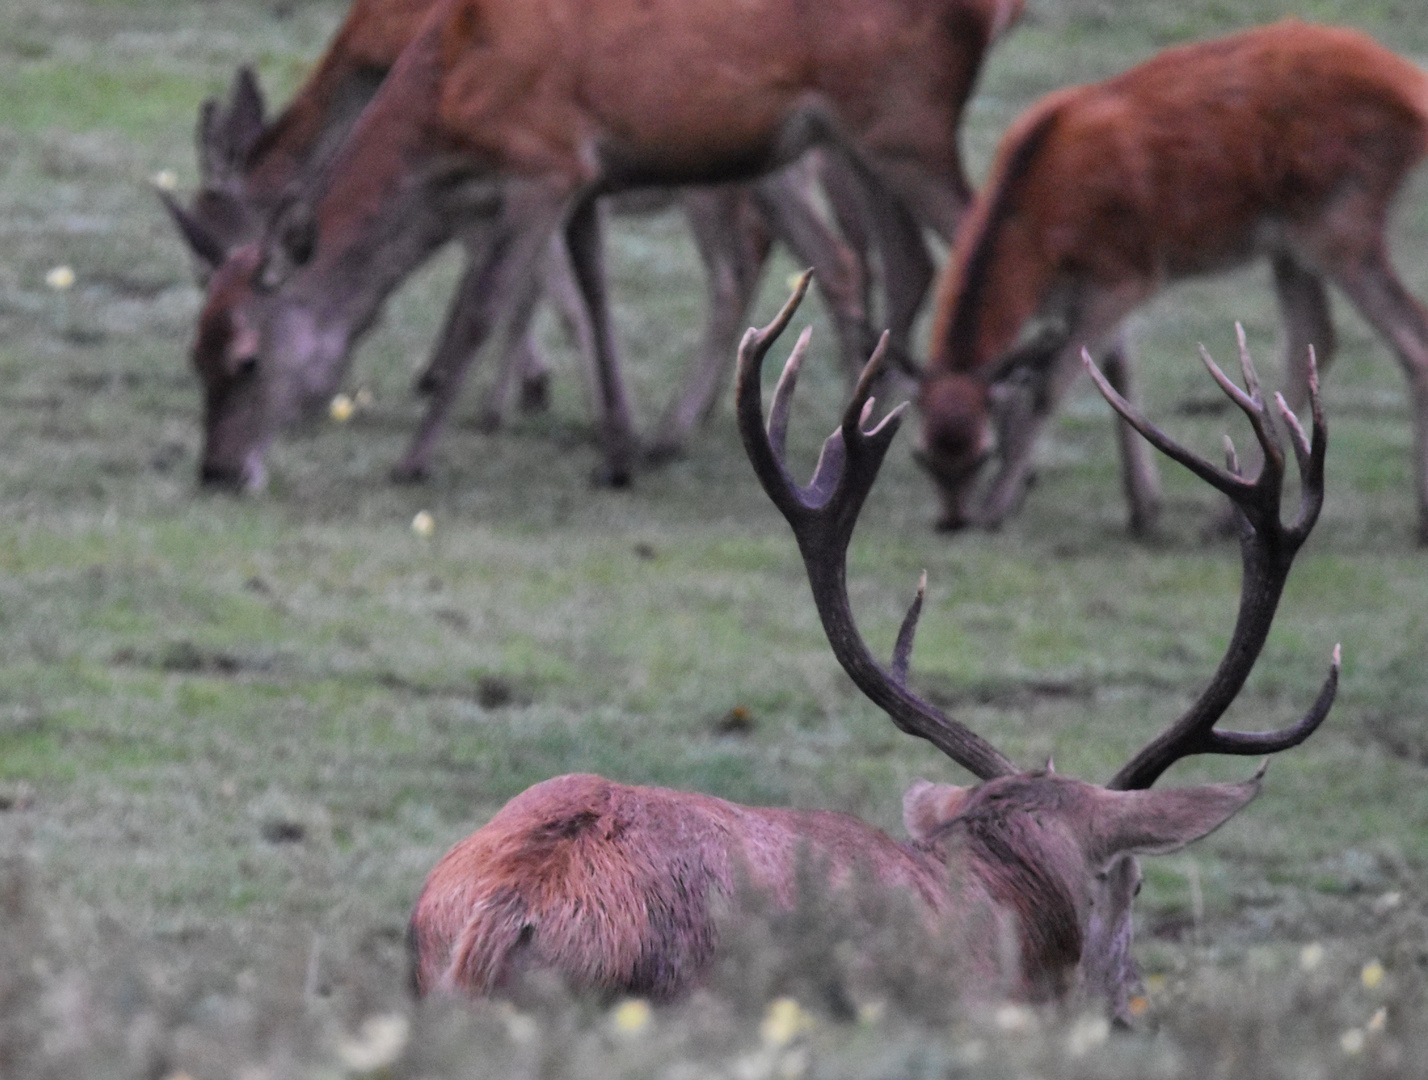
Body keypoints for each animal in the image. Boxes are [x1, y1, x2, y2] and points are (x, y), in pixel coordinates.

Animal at [184, 0, 1022, 494]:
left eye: (246, 359)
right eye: (196, 354)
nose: (217, 469)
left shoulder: (544, 161)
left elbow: (486, 306)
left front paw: (417, 457)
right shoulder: (586, 183)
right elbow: (592, 297)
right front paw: (615, 450)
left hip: (902, 125)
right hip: (854, 139)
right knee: (907, 261)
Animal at [913, 23, 1428, 548]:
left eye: (980, 453)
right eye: (922, 455)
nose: (952, 521)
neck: (1039, 245)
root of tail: (1410, 86)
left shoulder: (1129, 273)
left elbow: (1051, 385)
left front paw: (995, 508)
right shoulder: (1092, 288)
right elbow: (1112, 371)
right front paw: (1141, 508)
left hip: (1338, 219)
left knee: (1411, 336)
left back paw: (1419, 519)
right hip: (1291, 242)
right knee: (1316, 338)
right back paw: (1225, 518)